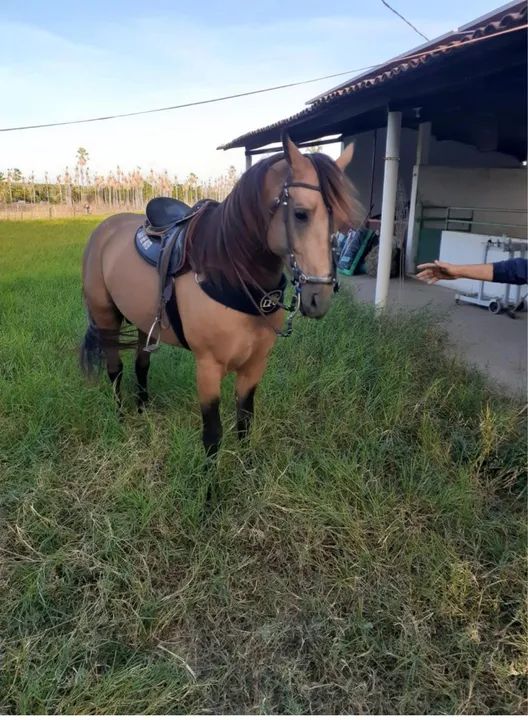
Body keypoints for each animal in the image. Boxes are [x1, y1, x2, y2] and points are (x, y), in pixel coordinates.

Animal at [80, 136, 360, 456]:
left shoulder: (255, 365)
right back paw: (121, 418)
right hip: (105, 317)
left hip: (142, 321)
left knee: (142, 364)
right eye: (301, 214)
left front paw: (246, 464)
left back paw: (142, 410)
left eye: (340, 221)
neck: (229, 272)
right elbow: (213, 435)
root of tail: (104, 228)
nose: (319, 297)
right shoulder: (208, 368)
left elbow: (245, 423)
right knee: (115, 369)